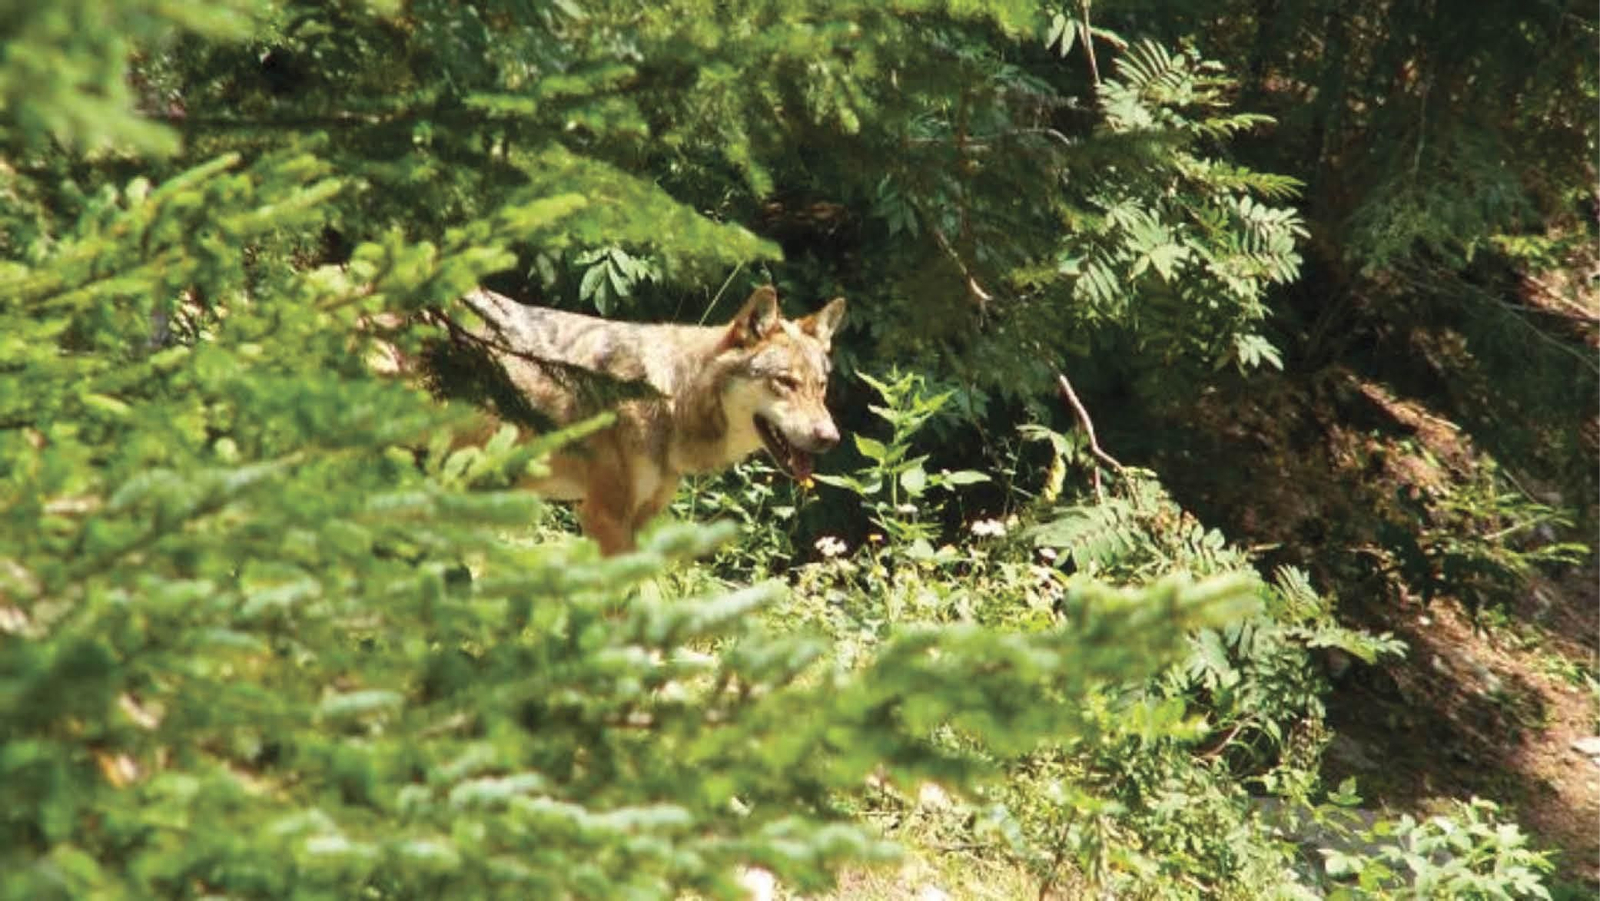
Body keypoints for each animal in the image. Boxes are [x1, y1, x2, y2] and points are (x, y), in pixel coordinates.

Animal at [435, 286, 846, 555]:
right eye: (785, 382)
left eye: (821, 385)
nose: (831, 438)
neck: (671, 394)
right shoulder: (604, 516)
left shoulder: (643, 519)